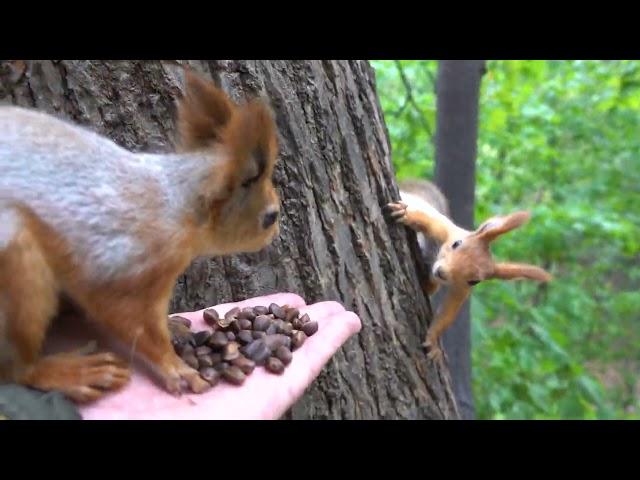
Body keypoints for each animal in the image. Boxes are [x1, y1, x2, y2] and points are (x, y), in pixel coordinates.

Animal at [0, 69, 280, 404]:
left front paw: (173, 327)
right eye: (271, 217)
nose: (275, 232)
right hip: (18, 272)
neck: (179, 205)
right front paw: (176, 367)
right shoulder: (132, 268)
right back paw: (75, 373)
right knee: (17, 370)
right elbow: (134, 325)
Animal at [382, 178, 552, 362]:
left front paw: (433, 340)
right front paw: (405, 214)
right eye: (456, 243)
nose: (441, 272)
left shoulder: (461, 288)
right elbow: (426, 221)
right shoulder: (445, 229)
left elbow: (448, 311)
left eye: (474, 281)